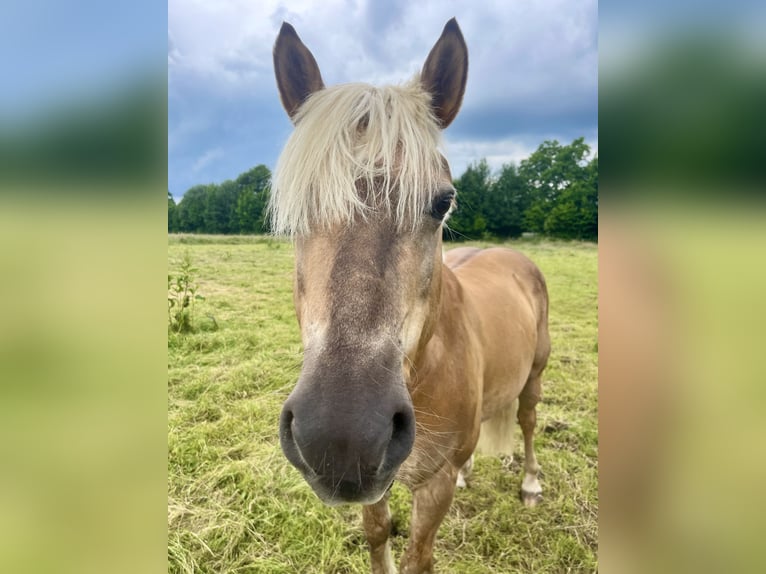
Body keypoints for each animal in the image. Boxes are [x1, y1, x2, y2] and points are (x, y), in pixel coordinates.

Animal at [272, 18, 548, 574]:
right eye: (296, 209)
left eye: (443, 201)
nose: (341, 437)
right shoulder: (374, 487)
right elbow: (378, 534)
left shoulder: (432, 487)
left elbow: (419, 553)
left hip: (535, 372)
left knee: (528, 420)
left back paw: (530, 484)